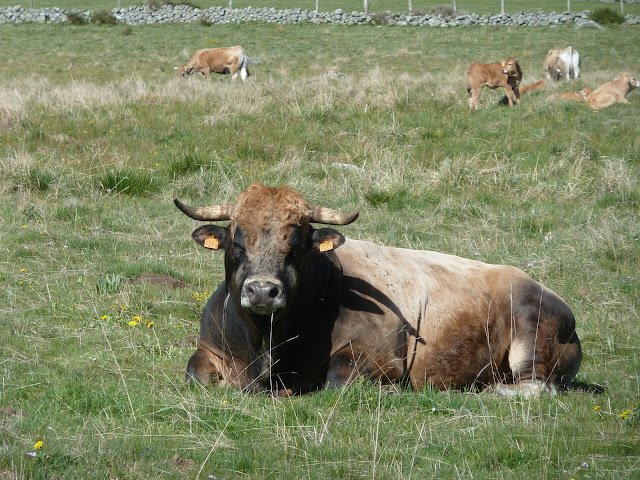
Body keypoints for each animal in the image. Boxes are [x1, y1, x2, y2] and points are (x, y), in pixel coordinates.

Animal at [174, 184, 580, 398]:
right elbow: (195, 374)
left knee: (536, 386)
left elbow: (337, 380)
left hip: (531, 332)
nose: (261, 291)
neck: (268, 344)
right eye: (236, 244)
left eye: (297, 246)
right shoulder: (210, 350)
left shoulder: (378, 359)